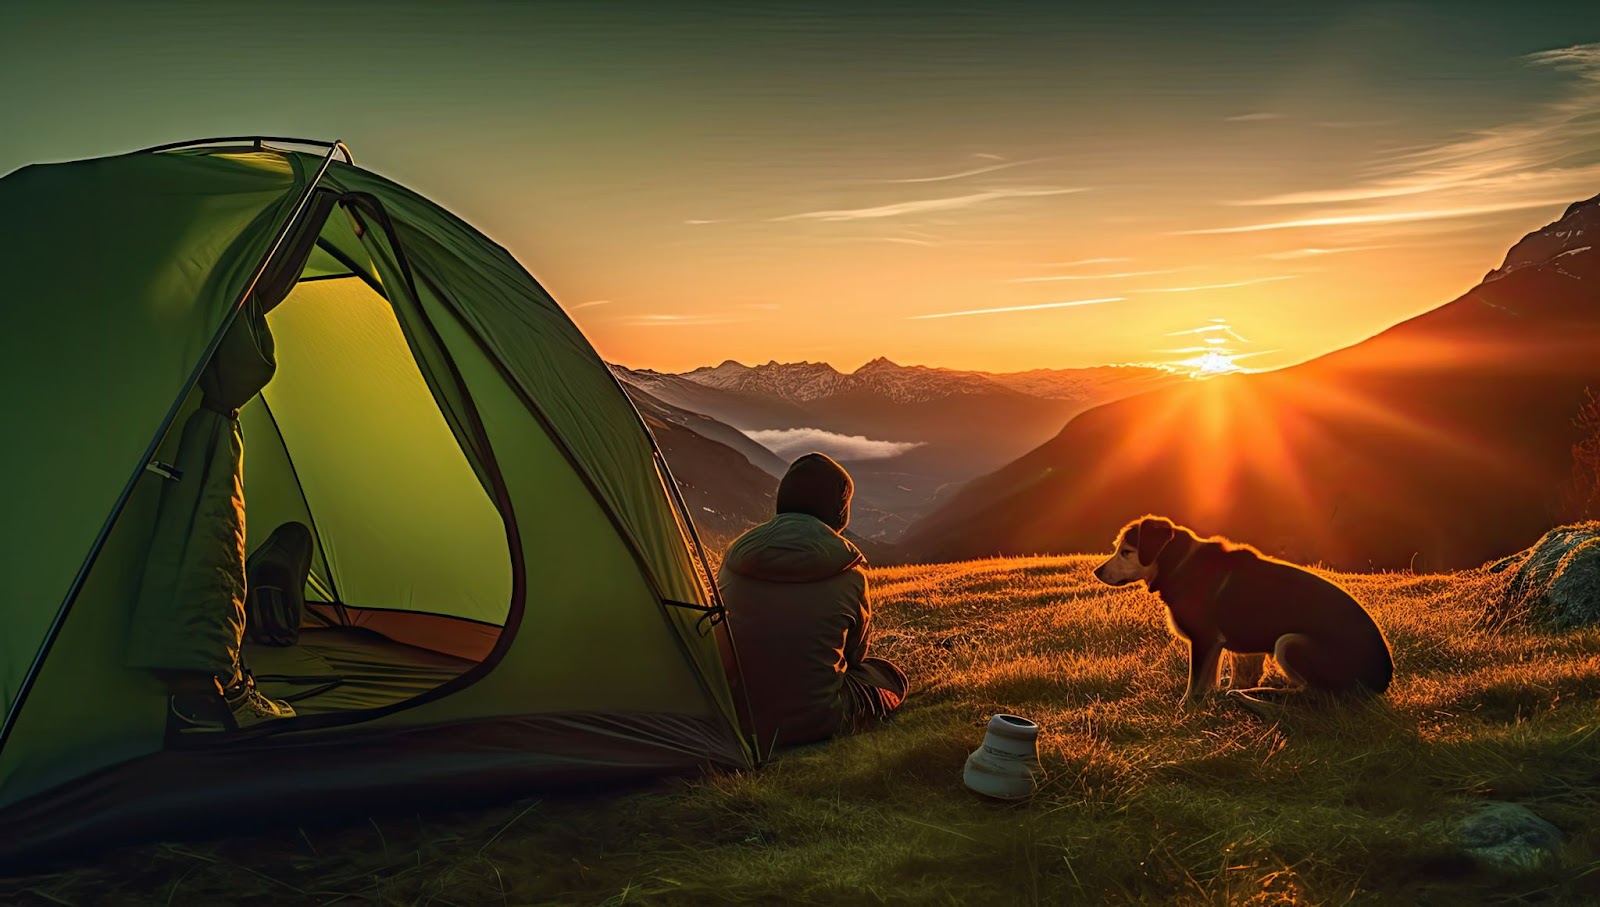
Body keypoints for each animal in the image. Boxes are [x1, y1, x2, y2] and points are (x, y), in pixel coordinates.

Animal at [1094, 515, 1395, 707]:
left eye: (1126, 551)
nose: (1097, 572)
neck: (1178, 563)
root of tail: (1382, 678)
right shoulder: (1213, 646)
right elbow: (1209, 683)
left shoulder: (1204, 640)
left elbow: (1194, 686)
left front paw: (1184, 711)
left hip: (1290, 643)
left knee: (1320, 696)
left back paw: (1265, 696)